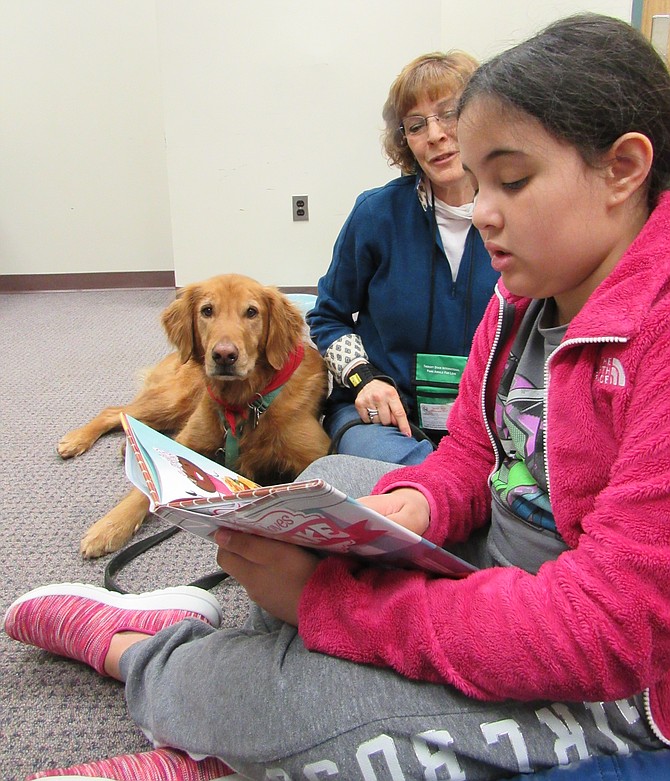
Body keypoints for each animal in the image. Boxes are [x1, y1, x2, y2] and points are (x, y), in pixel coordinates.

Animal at [59, 272, 332, 556]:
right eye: (207, 311)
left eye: (252, 312)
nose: (224, 355)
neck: (246, 401)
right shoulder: (187, 441)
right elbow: (146, 489)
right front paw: (110, 526)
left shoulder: (316, 451)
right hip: (173, 400)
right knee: (114, 411)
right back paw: (77, 439)